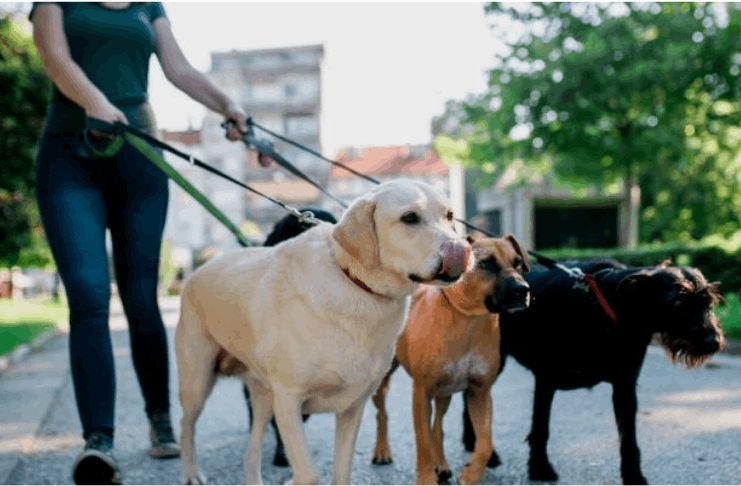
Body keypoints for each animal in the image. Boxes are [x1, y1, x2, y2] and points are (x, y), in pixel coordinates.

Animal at [372, 234, 528, 484]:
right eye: (485, 263)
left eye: (518, 263)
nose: (523, 290)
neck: (468, 319)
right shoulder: (421, 392)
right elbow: (422, 443)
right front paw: (426, 479)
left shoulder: (480, 391)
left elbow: (485, 442)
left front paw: (471, 474)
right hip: (384, 382)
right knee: (383, 414)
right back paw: (382, 451)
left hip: (444, 393)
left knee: (438, 427)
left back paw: (442, 464)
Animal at [460, 256, 724, 484]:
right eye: (677, 302)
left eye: (708, 301)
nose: (713, 341)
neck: (609, 308)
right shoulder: (545, 380)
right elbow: (541, 428)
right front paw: (540, 468)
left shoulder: (625, 387)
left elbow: (629, 439)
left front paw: (633, 476)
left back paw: (472, 443)